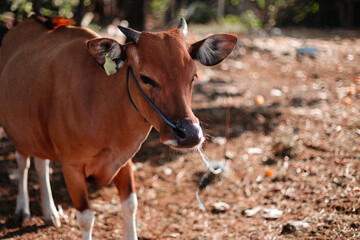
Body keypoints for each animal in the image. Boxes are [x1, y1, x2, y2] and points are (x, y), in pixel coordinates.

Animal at [0, 15, 236, 239]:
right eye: (146, 78)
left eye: (193, 76)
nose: (189, 134)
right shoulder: (71, 167)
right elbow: (85, 218)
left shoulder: (124, 159)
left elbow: (130, 205)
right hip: (17, 130)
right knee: (23, 161)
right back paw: (23, 209)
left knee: (41, 162)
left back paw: (50, 213)